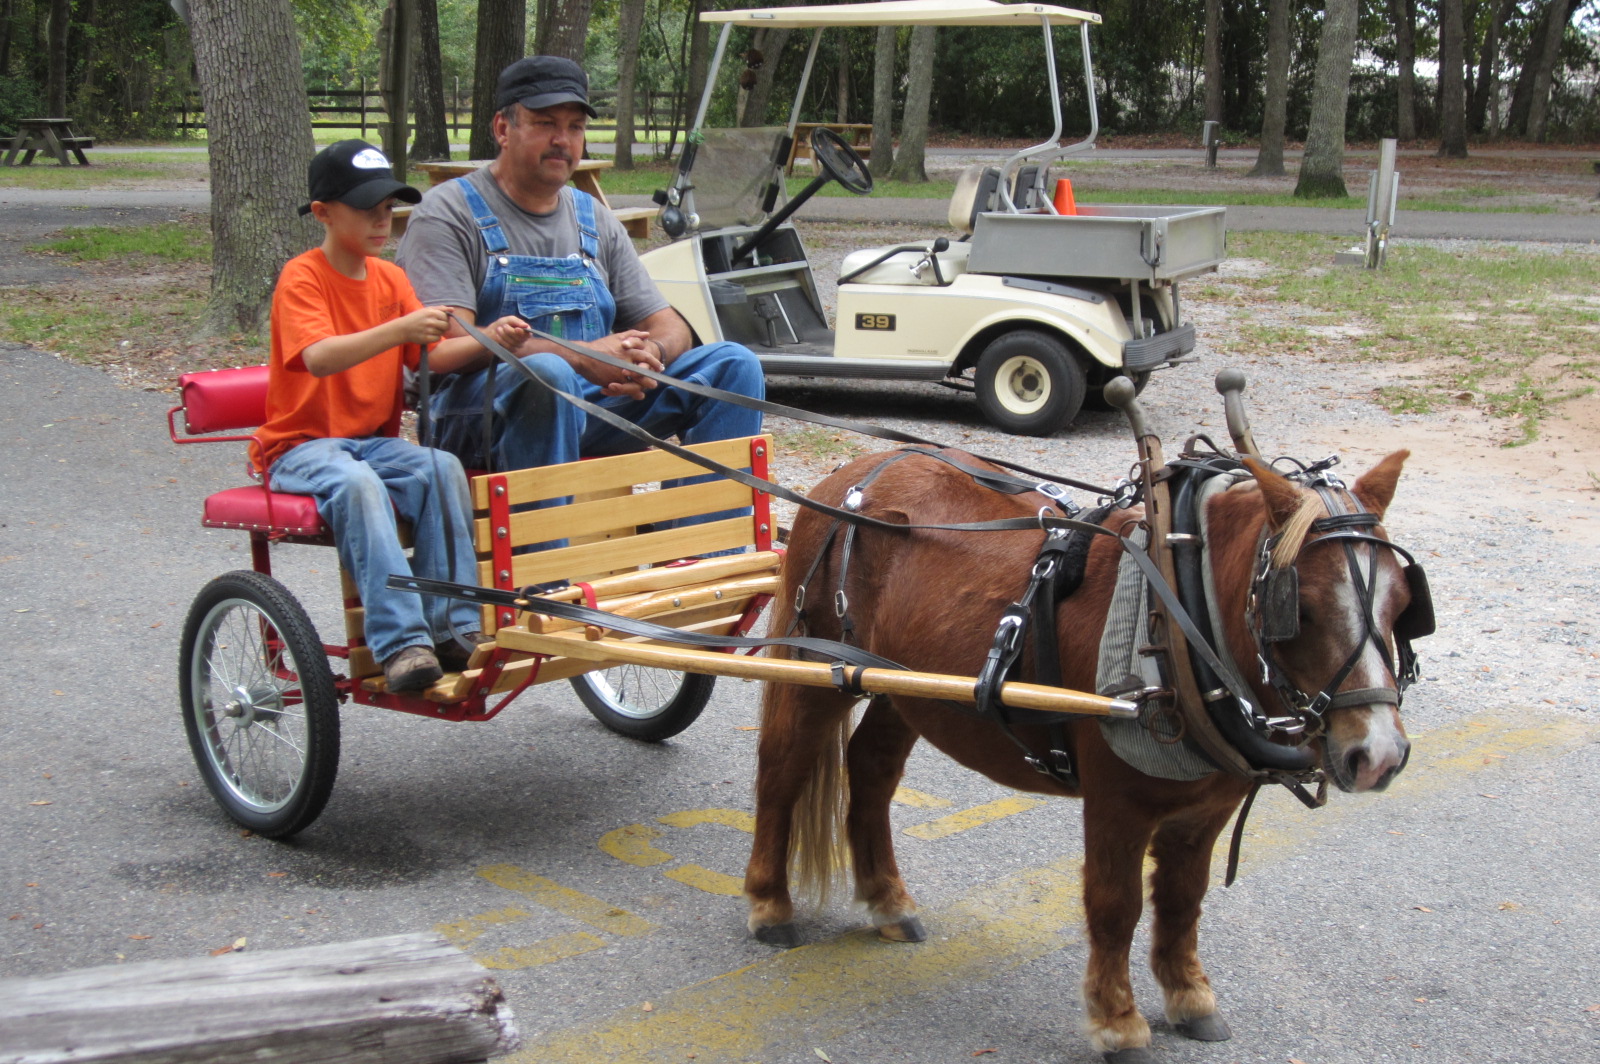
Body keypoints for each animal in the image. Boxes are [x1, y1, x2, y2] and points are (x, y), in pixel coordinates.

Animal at [742, 438, 1420, 1056]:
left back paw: (886, 898)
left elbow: (1182, 900)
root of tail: (859, 470)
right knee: (782, 769)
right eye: (1299, 607)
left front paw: (1189, 996)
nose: (1378, 755)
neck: (1177, 616)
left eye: (1403, 603)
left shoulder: (1205, 812)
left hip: (906, 686)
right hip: (819, 666)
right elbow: (1115, 905)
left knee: (872, 770)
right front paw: (1117, 1021)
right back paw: (771, 903)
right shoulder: (1117, 804)